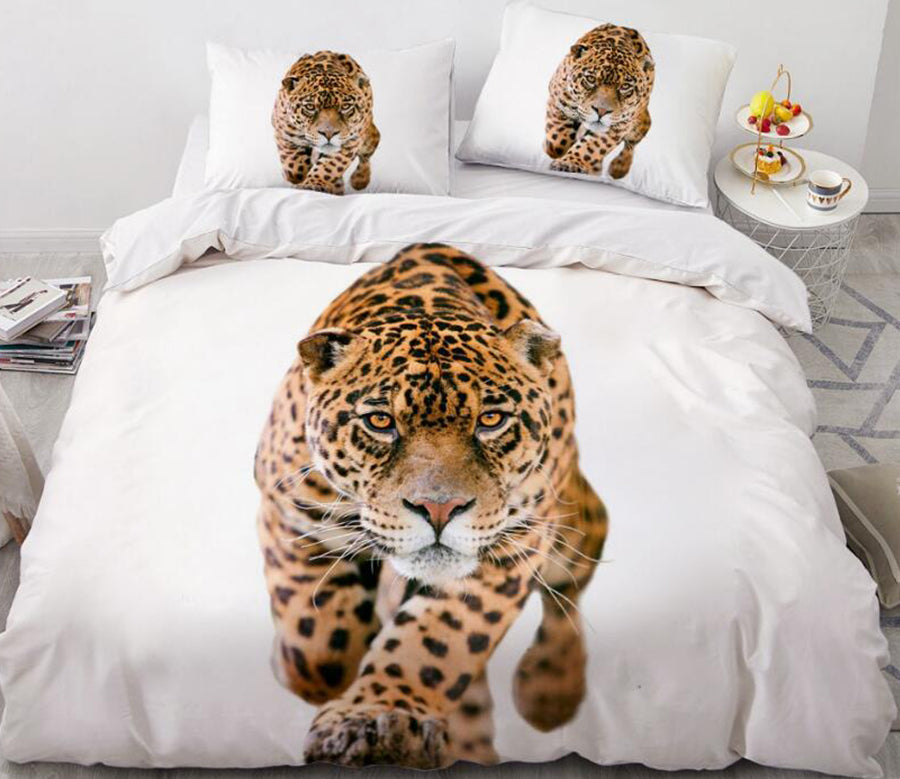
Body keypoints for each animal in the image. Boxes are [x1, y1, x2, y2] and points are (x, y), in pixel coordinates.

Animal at [254, 244, 608, 768]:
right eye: (380, 421)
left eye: (491, 420)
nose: (439, 510)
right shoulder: (291, 513)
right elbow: (317, 644)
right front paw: (305, 664)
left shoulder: (508, 549)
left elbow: (436, 642)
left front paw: (381, 717)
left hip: (570, 524)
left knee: (572, 583)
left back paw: (549, 691)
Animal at [272, 51, 380, 195]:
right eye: (310, 107)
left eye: (345, 106)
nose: (328, 134)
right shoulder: (283, 132)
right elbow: (293, 166)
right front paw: (296, 175)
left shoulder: (350, 141)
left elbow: (330, 166)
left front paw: (312, 184)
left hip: (368, 137)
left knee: (368, 152)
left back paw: (359, 180)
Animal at [544, 24, 654, 180]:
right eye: (590, 79)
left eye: (625, 86)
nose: (601, 111)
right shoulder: (558, 102)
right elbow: (557, 142)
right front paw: (553, 148)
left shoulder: (618, 126)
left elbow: (591, 147)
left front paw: (569, 163)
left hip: (639, 124)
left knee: (631, 144)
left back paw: (619, 168)